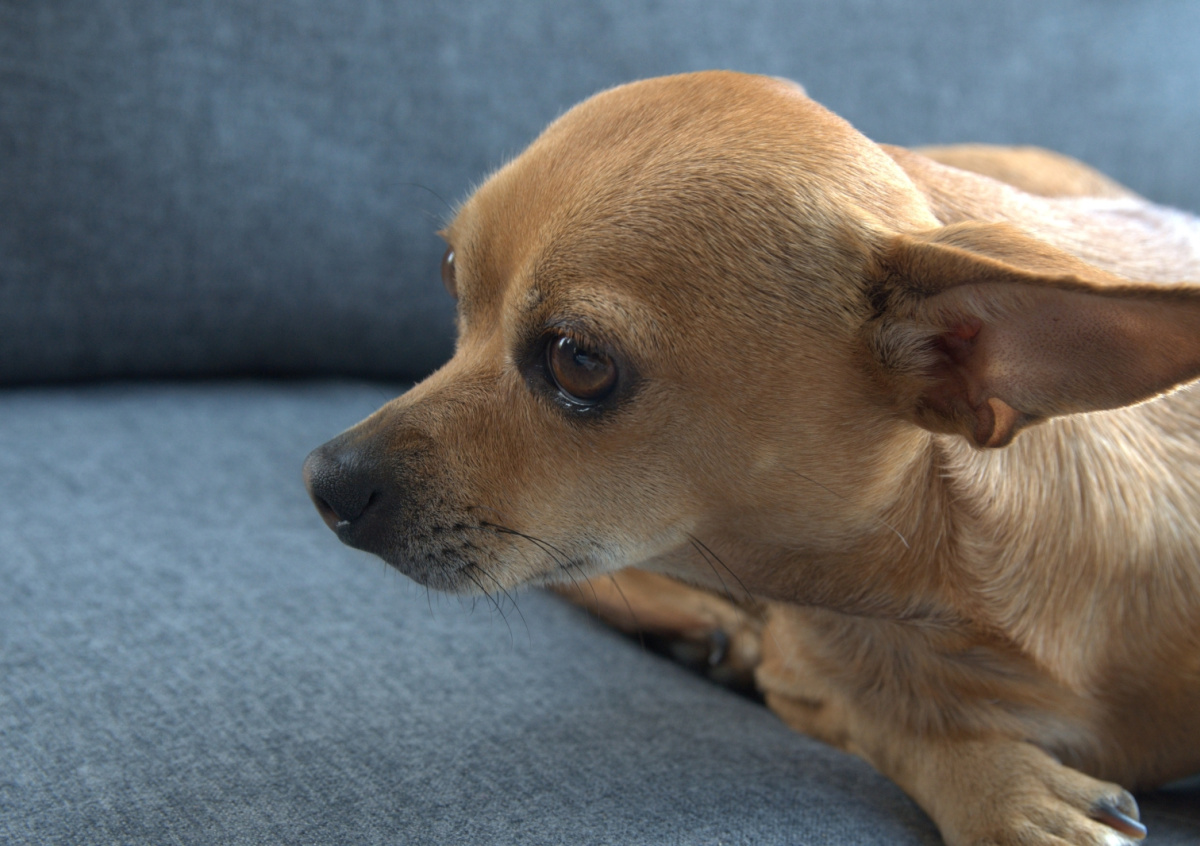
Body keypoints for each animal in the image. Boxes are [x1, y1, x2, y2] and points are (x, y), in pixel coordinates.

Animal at [303, 71, 1200, 845]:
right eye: (451, 273)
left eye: (579, 361)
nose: (323, 479)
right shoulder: (806, 675)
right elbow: (894, 726)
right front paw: (1003, 792)